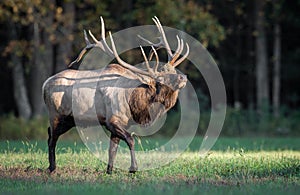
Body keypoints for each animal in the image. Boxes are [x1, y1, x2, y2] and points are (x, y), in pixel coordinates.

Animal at [42, 16, 188, 174]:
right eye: (161, 80)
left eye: (173, 72)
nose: (183, 77)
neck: (136, 104)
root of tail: (44, 84)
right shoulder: (112, 120)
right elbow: (130, 140)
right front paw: (133, 168)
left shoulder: (123, 123)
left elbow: (112, 149)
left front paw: (109, 170)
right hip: (55, 114)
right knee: (52, 138)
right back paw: (52, 168)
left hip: (69, 119)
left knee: (50, 134)